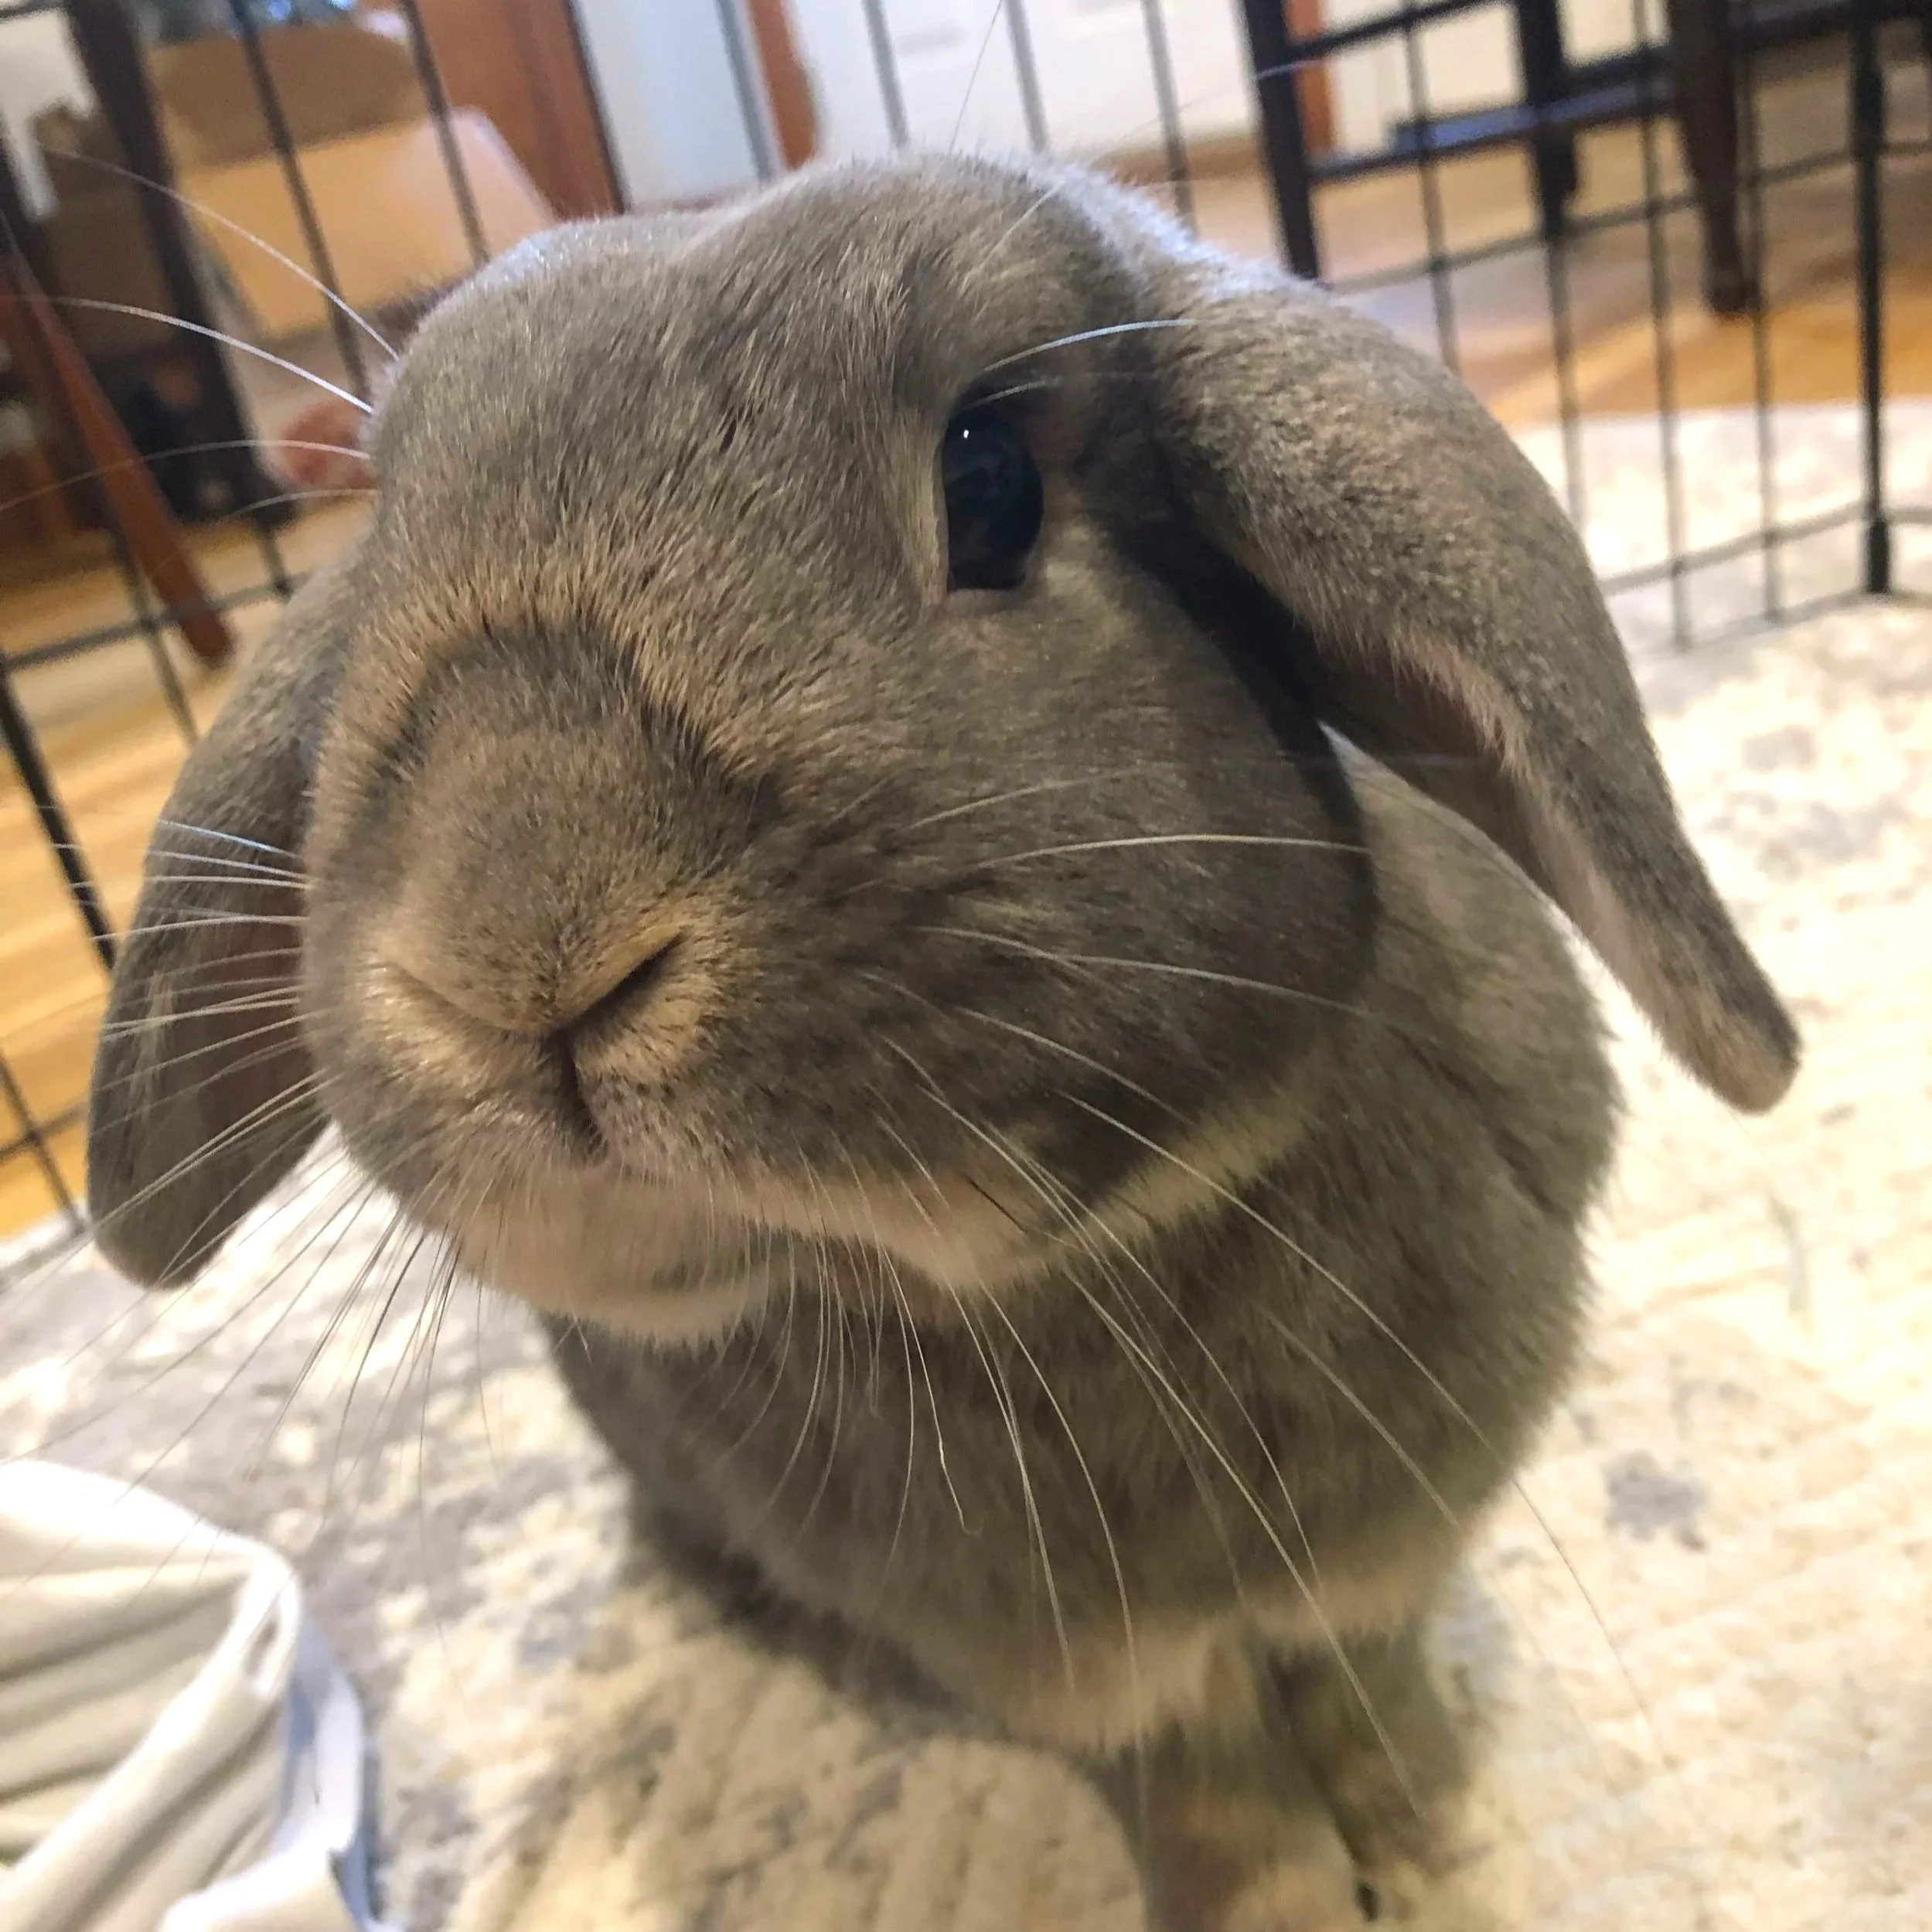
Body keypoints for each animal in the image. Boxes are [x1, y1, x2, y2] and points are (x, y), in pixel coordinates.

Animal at [85, 153, 1797, 1931]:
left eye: (989, 485)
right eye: (391, 535)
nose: (516, 958)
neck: (1062, 1281)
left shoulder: (1378, 1566)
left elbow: (1370, 1704)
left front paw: (1427, 1859)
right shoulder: (1089, 1674)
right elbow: (1216, 1798)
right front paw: (1291, 1900)